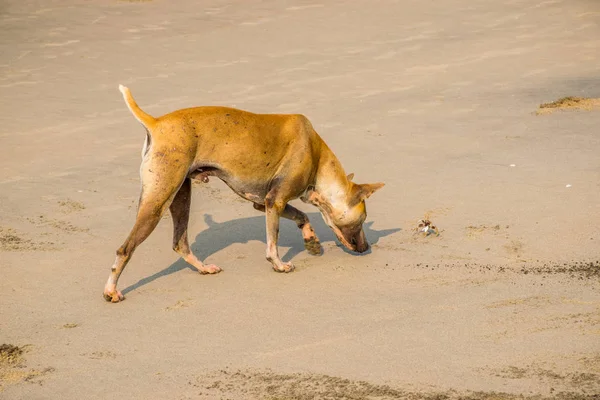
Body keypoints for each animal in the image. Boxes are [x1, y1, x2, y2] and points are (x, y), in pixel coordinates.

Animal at [102, 85, 384, 304]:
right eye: (361, 220)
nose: (366, 248)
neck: (316, 155)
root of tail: (156, 122)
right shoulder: (274, 202)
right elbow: (273, 241)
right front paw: (279, 264)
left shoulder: (265, 203)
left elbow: (302, 215)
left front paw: (311, 240)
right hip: (158, 201)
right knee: (125, 249)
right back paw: (111, 290)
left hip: (182, 196)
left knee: (179, 242)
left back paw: (203, 268)